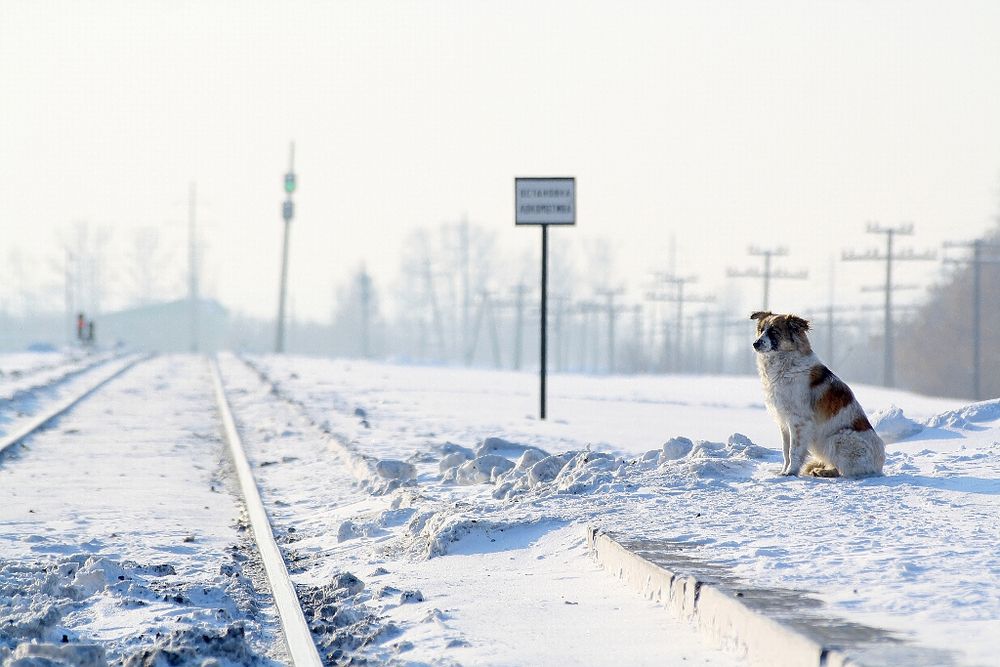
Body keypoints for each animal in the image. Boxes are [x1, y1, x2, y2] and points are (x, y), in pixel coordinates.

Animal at [752, 310, 884, 478]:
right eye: (761, 330)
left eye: (774, 331)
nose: (755, 343)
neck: (786, 366)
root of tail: (879, 465)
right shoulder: (784, 422)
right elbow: (785, 451)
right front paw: (784, 471)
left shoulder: (799, 422)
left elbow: (794, 451)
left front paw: (791, 472)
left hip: (836, 439)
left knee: (845, 471)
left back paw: (825, 472)